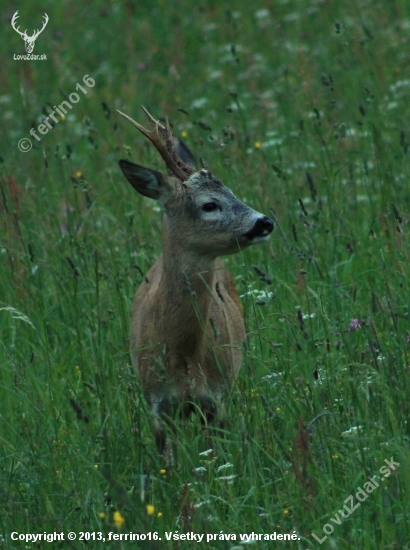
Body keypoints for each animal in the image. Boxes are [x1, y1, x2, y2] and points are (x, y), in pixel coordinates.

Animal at [117, 109, 274, 458]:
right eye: (209, 204)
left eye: (232, 193)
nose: (266, 222)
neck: (182, 354)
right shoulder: (157, 405)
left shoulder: (216, 400)